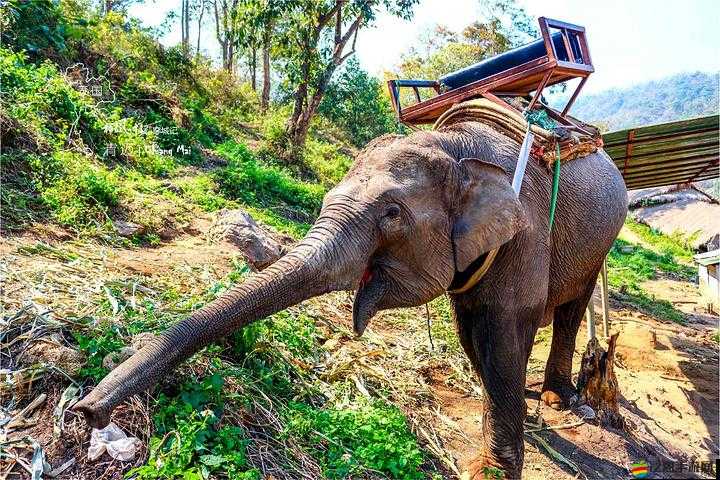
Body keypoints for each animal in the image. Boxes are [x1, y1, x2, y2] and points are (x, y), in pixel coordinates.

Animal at [75, 120, 628, 478]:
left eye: (391, 214)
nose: (87, 411)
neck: (456, 146)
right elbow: (474, 335)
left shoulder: (526, 237)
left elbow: (505, 334)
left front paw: (491, 473)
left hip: (602, 241)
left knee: (571, 309)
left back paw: (557, 396)